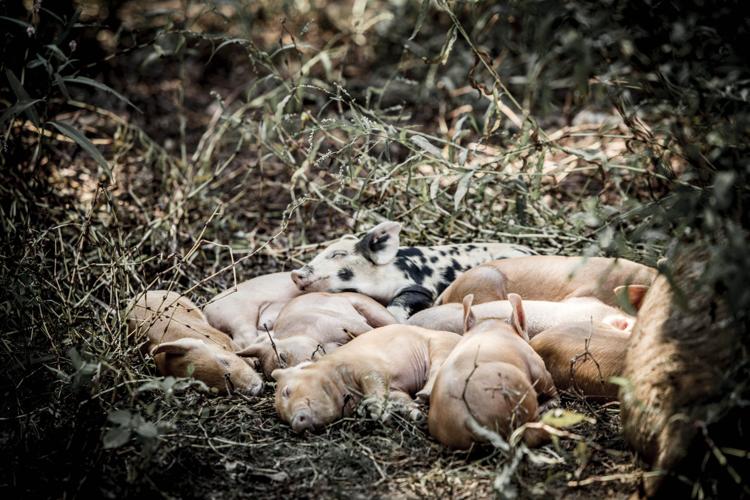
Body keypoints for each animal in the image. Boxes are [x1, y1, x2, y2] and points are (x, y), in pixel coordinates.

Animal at [271, 324, 462, 433]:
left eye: (287, 391)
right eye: (283, 417)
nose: (296, 423)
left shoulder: (369, 368)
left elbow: (374, 386)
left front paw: (380, 416)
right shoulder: (395, 389)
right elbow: (400, 398)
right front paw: (417, 416)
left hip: (440, 345)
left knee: (437, 368)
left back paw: (423, 395)